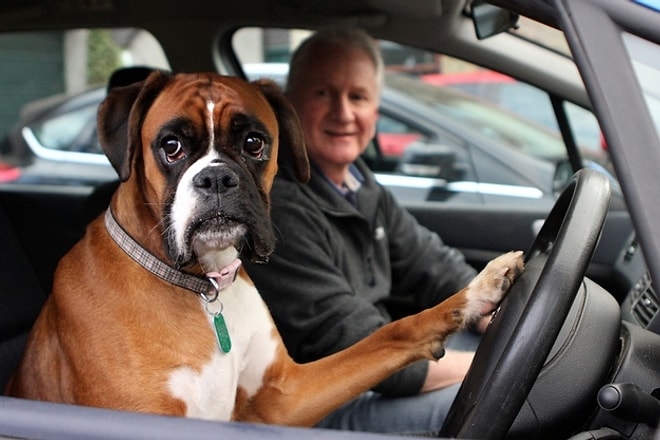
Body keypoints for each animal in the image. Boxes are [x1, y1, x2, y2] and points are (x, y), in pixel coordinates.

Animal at [3, 71, 520, 426]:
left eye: (254, 142)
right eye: (170, 146)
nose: (216, 178)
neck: (201, 287)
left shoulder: (283, 398)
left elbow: (391, 335)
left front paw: (478, 292)